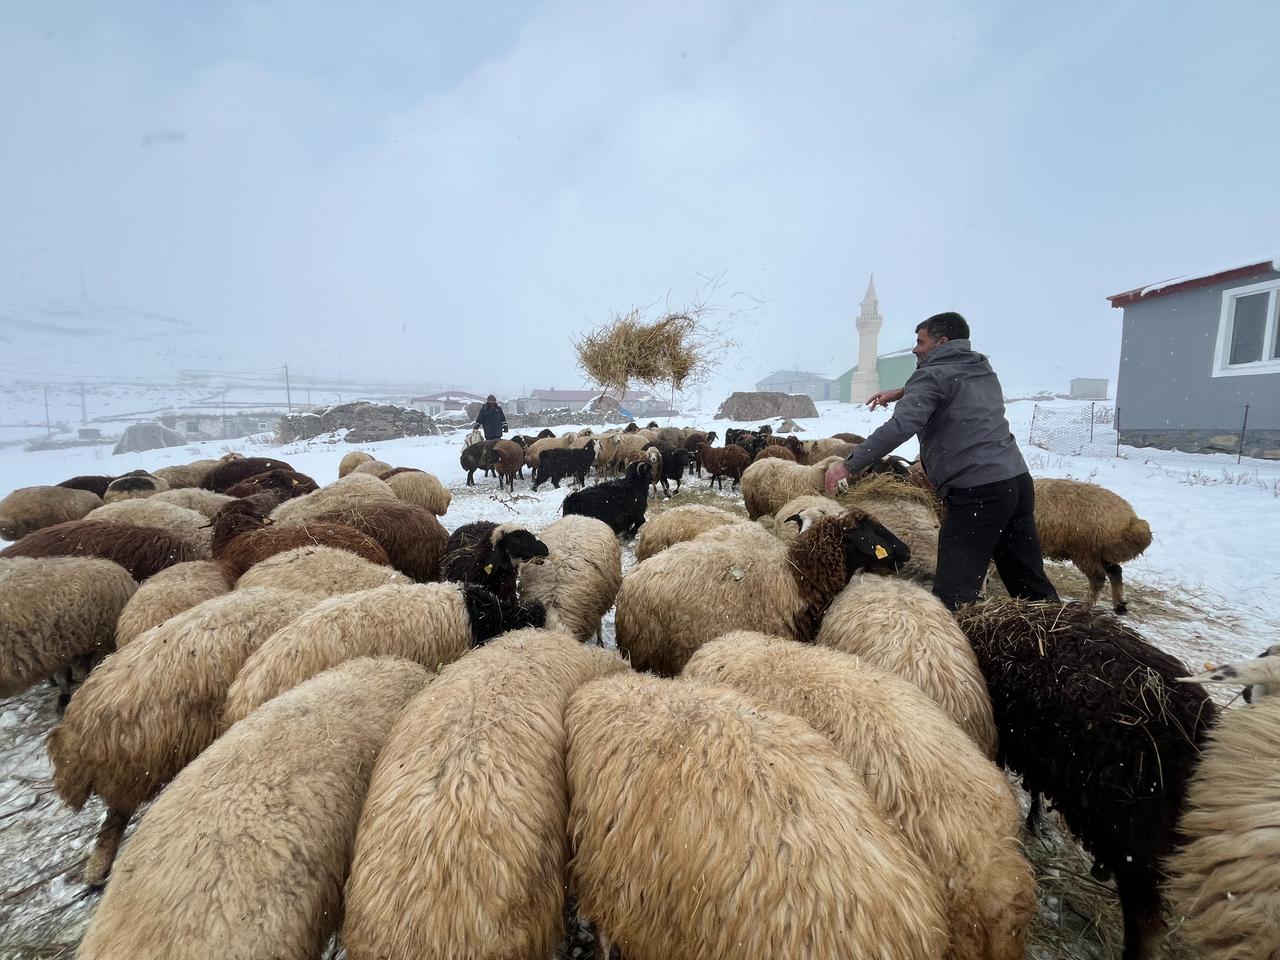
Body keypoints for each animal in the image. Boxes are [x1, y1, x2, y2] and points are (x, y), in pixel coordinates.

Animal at [47, 586, 316, 885]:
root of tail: (75, 732)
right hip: (134, 773)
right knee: (116, 818)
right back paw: (99, 870)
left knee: (111, 821)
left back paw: (95, 871)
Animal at [1034, 477, 1153, 613]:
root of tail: (1129, 521)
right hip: (1100, 553)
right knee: (1116, 572)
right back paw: (1119, 606)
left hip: (1085, 552)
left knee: (1098, 579)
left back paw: (1084, 606)